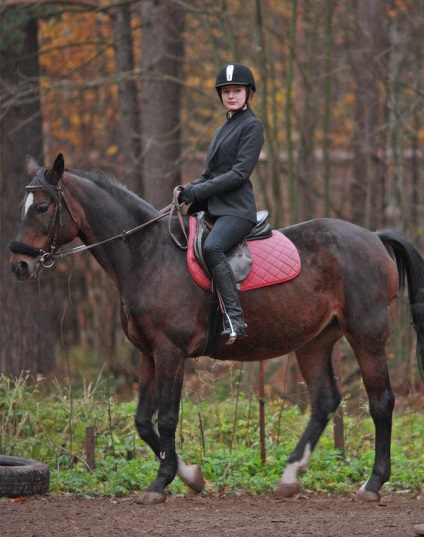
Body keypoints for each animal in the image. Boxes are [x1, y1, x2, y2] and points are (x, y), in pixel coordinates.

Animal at [9, 154, 424, 502]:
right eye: (24, 207)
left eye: (43, 207)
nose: (19, 266)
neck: (147, 256)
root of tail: (373, 237)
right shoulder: (147, 352)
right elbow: (143, 421)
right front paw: (191, 475)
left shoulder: (170, 351)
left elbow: (167, 418)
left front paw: (161, 483)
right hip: (315, 342)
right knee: (324, 401)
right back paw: (290, 477)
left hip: (366, 336)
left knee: (381, 402)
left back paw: (372, 483)